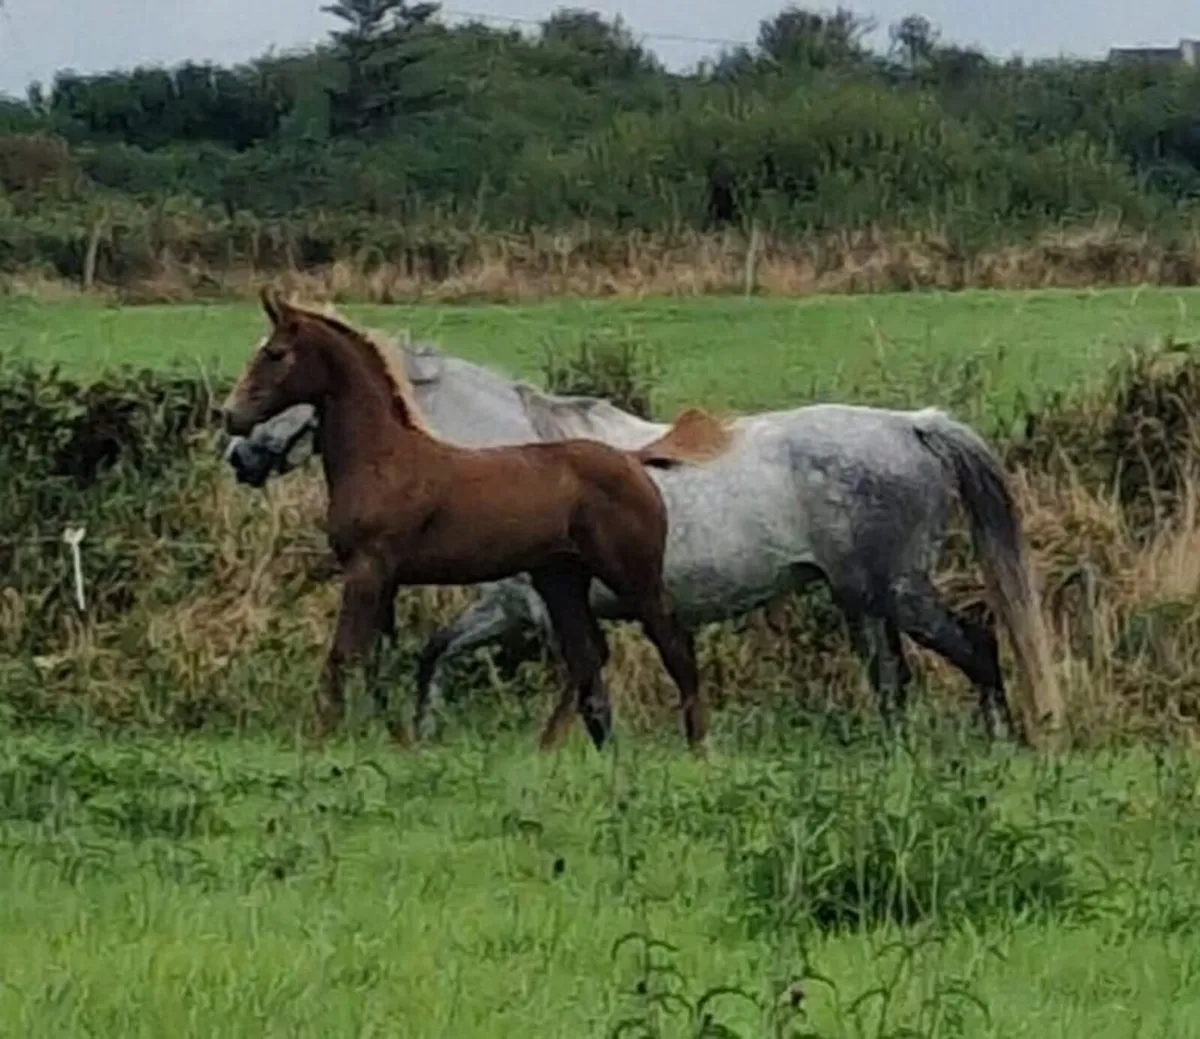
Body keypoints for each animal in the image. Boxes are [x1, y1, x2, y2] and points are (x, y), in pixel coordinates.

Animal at [221, 288, 710, 752]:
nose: (231, 419)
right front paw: (399, 740)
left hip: (631, 575)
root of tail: (633, 460)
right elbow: (378, 662)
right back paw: (572, 753)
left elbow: (344, 655)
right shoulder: (384, 579)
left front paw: (320, 739)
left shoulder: (367, 569)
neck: (383, 458)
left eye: (276, 353)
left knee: (673, 644)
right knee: (588, 656)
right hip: (560, 579)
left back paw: (696, 747)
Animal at [225, 338, 1063, 747]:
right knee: (896, 682)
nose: (238, 452)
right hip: (862, 601)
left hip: (895, 590)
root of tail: (912, 425)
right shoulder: (526, 608)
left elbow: (556, 674)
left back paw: (1000, 744)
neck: (507, 457)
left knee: (979, 644)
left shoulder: (524, 610)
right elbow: (448, 658)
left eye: (279, 371)